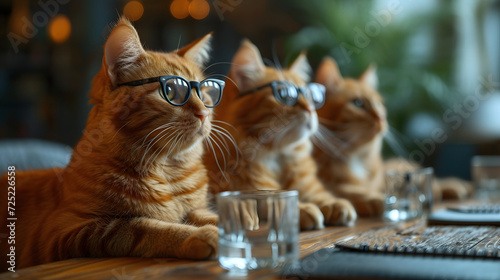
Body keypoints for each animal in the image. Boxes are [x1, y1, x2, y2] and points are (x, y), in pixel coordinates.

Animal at [0, 17, 223, 270]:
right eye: (170, 90)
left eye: (206, 92)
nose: (204, 113)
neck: (168, 172)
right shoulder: (72, 230)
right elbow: (144, 227)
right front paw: (202, 235)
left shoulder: (196, 209)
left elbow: (212, 215)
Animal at [205, 40, 358, 231]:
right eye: (285, 94)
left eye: (310, 96)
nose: (310, 109)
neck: (280, 157)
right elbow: (277, 200)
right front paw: (304, 209)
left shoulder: (308, 184)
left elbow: (319, 195)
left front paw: (333, 203)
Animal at [314, 56, 470, 214]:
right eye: (357, 103)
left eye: (378, 104)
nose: (381, 117)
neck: (357, 158)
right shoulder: (332, 184)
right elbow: (350, 191)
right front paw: (377, 199)